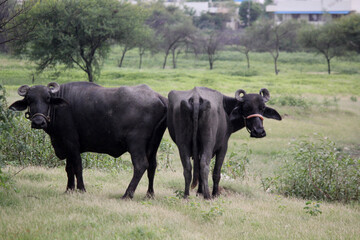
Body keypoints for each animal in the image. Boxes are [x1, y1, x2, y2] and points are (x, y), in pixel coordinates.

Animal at [9, 81, 167, 198]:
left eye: (47, 99)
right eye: (29, 99)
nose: (38, 122)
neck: (59, 107)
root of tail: (158, 97)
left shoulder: (71, 143)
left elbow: (77, 166)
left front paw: (81, 189)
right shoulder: (66, 146)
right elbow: (69, 168)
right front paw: (69, 189)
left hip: (136, 144)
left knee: (141, 165)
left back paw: (127, 194)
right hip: (154, 145)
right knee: (152, 165)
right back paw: (149, 194)